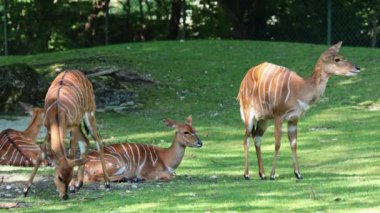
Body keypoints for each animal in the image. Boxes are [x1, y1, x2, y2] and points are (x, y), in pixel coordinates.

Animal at [23, 70, 110, 200]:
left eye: (69, 177)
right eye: (59, 177)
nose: (65, 196)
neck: (57, 114)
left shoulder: (72, 126)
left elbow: (72, 154)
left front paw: (73, 186)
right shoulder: (49, 129)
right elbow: (40, 155)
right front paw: (25, 189)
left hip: (89, 113)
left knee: (98, 142)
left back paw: (107, 183)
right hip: (79, 122)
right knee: (86, 141)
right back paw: (80, 184)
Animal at [238, 41, 360, 180]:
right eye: (337, 59)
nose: (357, 68)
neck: (299, 89)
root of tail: (244, 80)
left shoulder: (294, 118)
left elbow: (294, 143)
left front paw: (298, 174)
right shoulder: (279, 115)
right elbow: (278, 143)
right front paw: (273, 175)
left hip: (264, 119)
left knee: (256, 137)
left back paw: (262, 174)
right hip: (248, 114)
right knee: (246, 139)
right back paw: (247, 174)